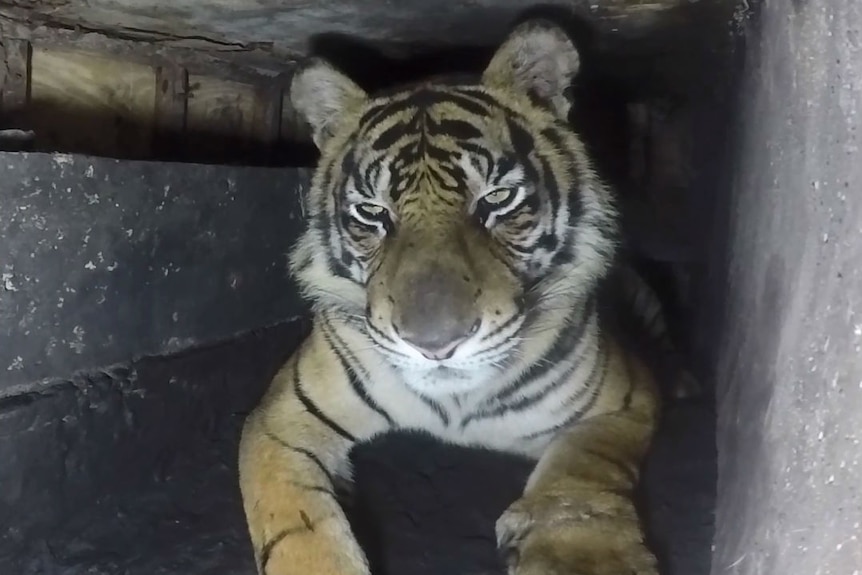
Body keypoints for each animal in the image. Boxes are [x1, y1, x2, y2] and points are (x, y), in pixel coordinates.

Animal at [240, 16, 664, 575]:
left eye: (497, 199)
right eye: (372, 213)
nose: (435, 345)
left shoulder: (623, 399)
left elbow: (583, 468)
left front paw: (579, 551)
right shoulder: (281, 416)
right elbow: (294, 521)